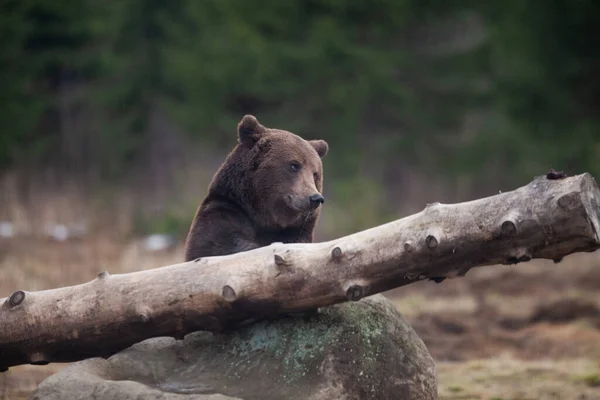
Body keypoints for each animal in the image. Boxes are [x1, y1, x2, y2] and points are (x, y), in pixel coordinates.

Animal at [185, 114, 330, 260]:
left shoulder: (297, 231)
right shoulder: (225, 212)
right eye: (294, 165)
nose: (315, 198)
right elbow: (218, 243)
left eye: (315, 174)